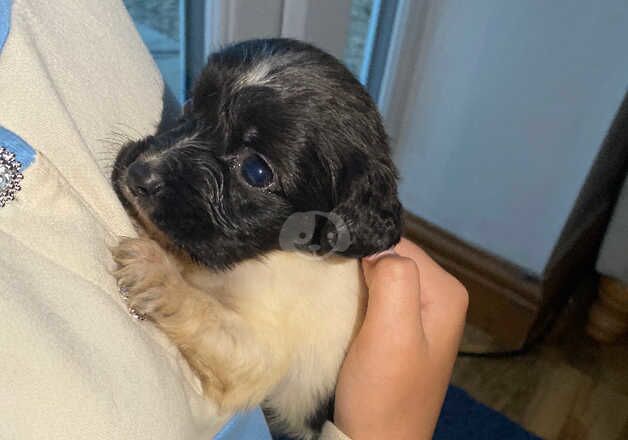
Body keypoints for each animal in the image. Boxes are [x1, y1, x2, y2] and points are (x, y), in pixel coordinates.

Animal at [110, 39, 400, 438]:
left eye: (256, 171)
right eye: (191, 105)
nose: (139, 172)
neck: (266, 256)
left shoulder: (259, 353)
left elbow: (204, 310)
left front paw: (158, 273)